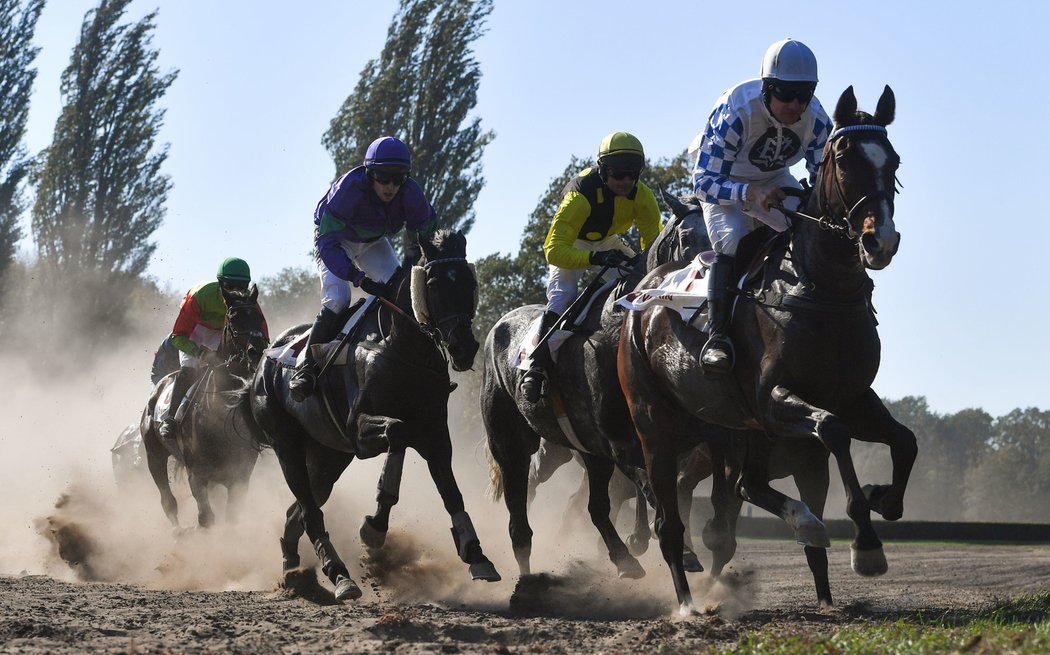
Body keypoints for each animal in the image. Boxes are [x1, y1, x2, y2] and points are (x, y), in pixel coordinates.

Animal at [251, 228, 501, 600]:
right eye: (433, 283)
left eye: (469, 281)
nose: (463, 347)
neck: (400, 347)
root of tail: (265, 360)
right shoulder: (360, 429)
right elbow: (397, 433)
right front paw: (375, 528)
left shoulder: (434, 431)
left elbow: (451, 491)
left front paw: (476, 553)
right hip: (287, 446)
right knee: (309, 512)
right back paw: (340, 576)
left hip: (329, 456)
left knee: (298, 510)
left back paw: (293, 571)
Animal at [617, 84, 915, 613]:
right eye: (844, 158)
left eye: (893, 160)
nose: (880, 240)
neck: (819, 288)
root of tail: (641, 297)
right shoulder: (774, 399)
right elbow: (834, 431)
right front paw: (866, 546)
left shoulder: (853, 397)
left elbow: (904, 440)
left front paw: (885, 498)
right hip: (657, 426)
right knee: (670, 521)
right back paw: (688, 604)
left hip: (736, 429)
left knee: (744, 485)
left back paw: (805, 531)